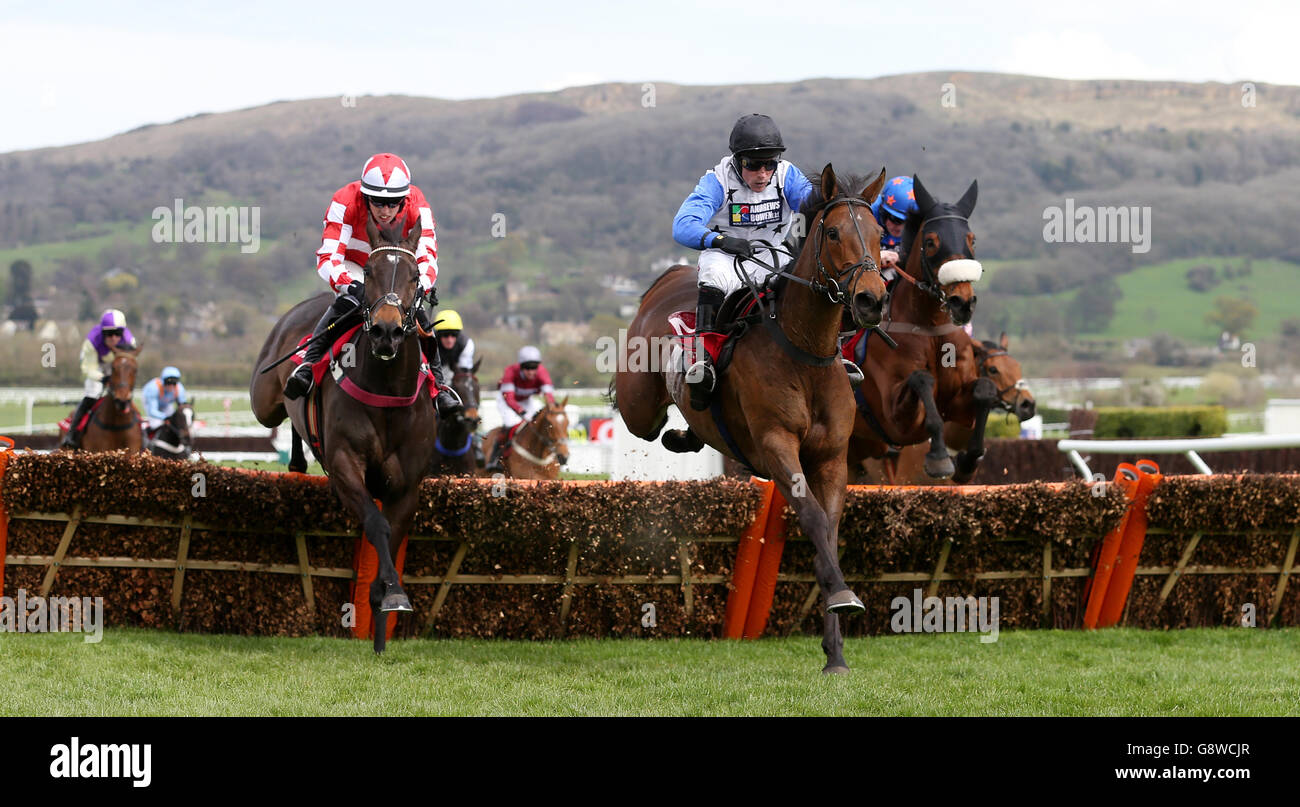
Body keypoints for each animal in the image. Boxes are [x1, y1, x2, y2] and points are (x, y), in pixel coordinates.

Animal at [250, 217, 439, 652]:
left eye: (415, 275)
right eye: (368, 273)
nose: (386, 331)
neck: (387, 389)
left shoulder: (408, 485)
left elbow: (393, 532)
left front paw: (385, 603)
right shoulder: (345, 466)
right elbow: (377, 524)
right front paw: (389, 594)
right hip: (264, 402)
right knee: (280, 415)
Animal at [613, 163, 889, 675]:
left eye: (880, 234)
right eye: (834, 233)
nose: (871, 301)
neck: (805, 352)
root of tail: (668, 279)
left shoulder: (831, 459)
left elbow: (829, 533)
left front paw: (836, 651)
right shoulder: (777, 446)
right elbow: (814, 519)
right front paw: (842, 595)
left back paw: (685, 435)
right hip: (638, 402)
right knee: (641, 420)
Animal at [847, 172, 977, 478]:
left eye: (971, 239)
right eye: (930, 241)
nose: (962, 303)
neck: (929, 328)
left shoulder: (959, 407)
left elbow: (986, 390)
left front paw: (968, 461)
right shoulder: (896, 420)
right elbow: (921, 378)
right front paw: (939, 457)